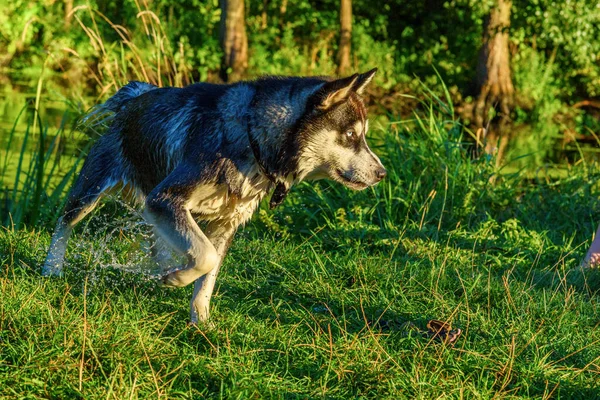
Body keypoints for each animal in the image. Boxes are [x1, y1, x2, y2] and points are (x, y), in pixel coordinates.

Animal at [44, 69, 386, 324]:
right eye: (351, 135)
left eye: (363, 135)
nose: (382, 173)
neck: (251, 137)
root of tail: (136, 95)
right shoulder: (167, 198)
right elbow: (205, 255)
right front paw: (177, 280)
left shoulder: (225, 223)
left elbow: (208, 274)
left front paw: (201, 321)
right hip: (90, 192)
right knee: (63, 223)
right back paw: (52, 268)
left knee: (157, 240)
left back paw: (164, 265)